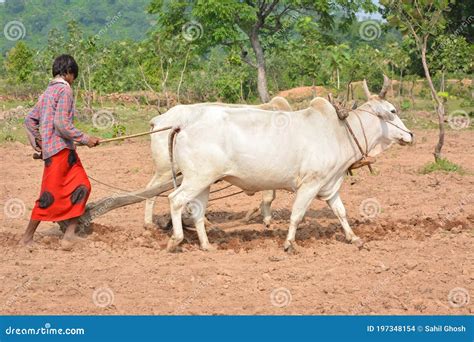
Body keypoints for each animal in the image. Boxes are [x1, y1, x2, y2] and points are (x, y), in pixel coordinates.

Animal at [144, 97, 292, 230]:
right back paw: (149, 224)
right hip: (166, 170)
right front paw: (266, 220)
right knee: (152, 190)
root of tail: (158, 120)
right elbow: (269, 197)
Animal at [165, 77, 412, 251]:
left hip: (204, 182)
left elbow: (341, 212)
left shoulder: (330, 185)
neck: (339, 132)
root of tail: (183, 125)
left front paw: (354, 238)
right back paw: (175, 240)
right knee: (175, 200)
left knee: (197, 211)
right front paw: (290, 243)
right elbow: (297, 214)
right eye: (393, 111)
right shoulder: (310, 184)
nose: (410, 135)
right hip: (197, 179)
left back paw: (207, 245)